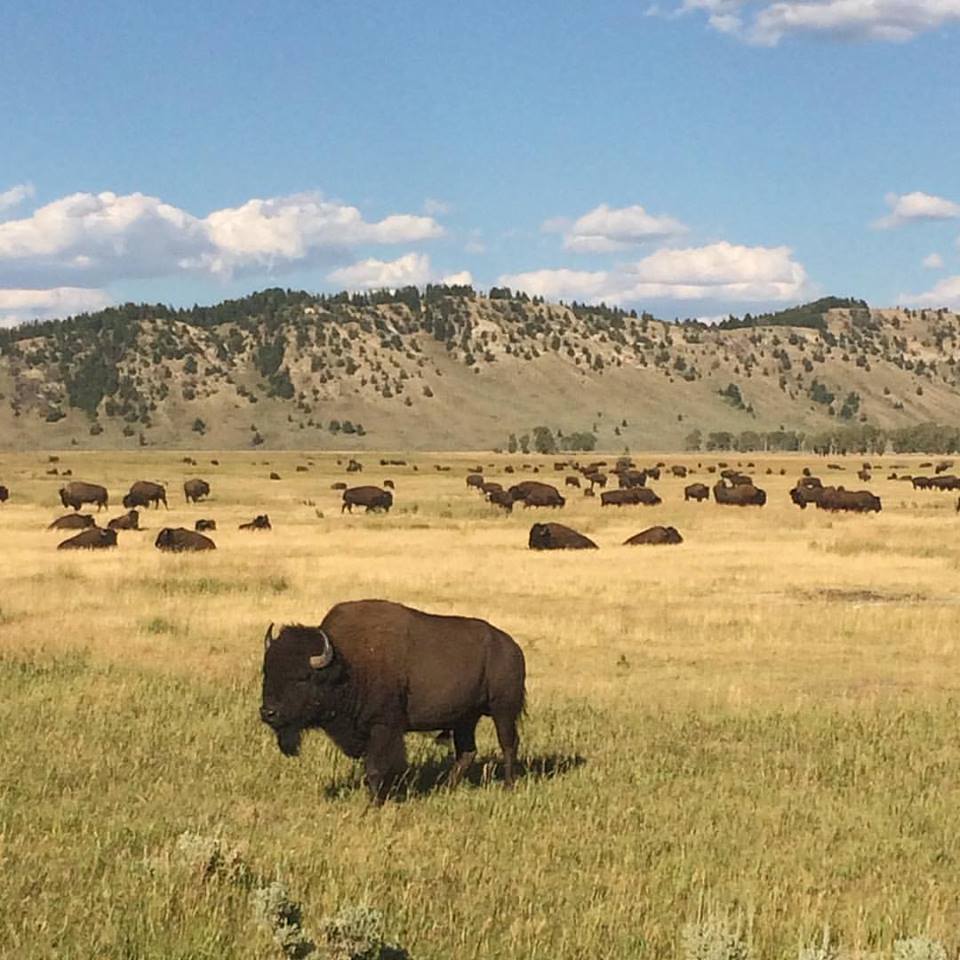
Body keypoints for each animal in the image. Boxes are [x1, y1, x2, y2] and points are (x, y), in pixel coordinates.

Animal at [258, 600, 524, 804]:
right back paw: (446, 788)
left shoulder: (383, 727)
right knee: (467, 752)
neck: (348, 663)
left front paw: (374, 804)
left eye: (302, 678)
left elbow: (376, 768)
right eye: (267, 672)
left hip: (503, 711)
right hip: (465, 719)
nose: (268, 712)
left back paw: (508, 787)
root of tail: (511, 646)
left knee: (508, 745)